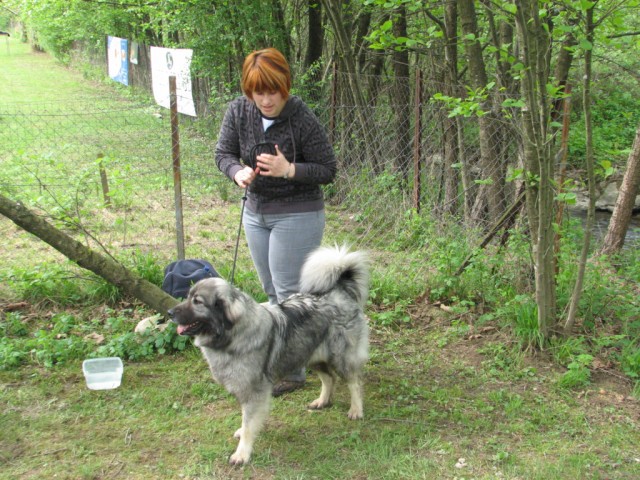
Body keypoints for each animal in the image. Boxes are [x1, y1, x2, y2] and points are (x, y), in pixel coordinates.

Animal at [168, 246, 370, 464]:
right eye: (189, 297)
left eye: (197, 302)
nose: (170, 312)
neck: (233, 335)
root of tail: (339, 291)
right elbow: (245, 419)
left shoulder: (253, 391)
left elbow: (249, 423)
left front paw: (242, 453)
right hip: (309, 354)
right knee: (329, 378)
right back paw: (322, 401)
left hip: (341, 357)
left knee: (355, 382)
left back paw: (356, 410)